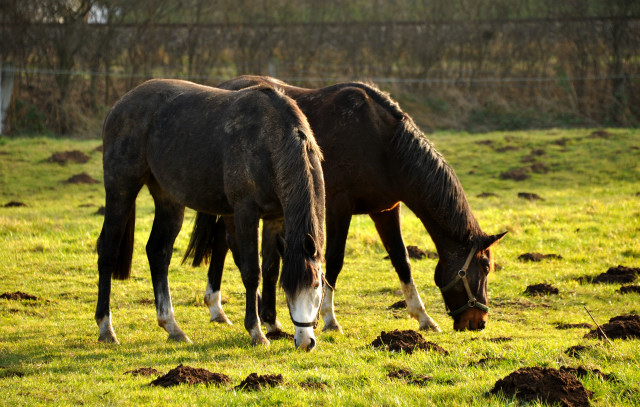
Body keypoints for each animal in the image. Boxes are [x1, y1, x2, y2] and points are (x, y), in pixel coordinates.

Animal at [95, 79, 324, 350]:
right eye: (288, 290)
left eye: (317, 285)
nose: (306, 342)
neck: (269, 140)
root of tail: (119, 106)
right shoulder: (245, 213)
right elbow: (252, 271)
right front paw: (256, 330)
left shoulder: (275, 219)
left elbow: (270, 269)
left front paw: (273, 325)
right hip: (121, 190)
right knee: (107, 251)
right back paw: (106, 328)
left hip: (168, 199)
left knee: (158, 252)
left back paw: (172, 326)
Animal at [185, 75, 504, 334]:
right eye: (485, 267)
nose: (478, 323)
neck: (385, 145)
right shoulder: (339, 207)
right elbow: (335, 261)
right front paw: (329, 318)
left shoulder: (386, 209)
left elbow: (401, 260)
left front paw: (423, 318)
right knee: (232, 246)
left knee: (223, 245)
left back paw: (224, 309)